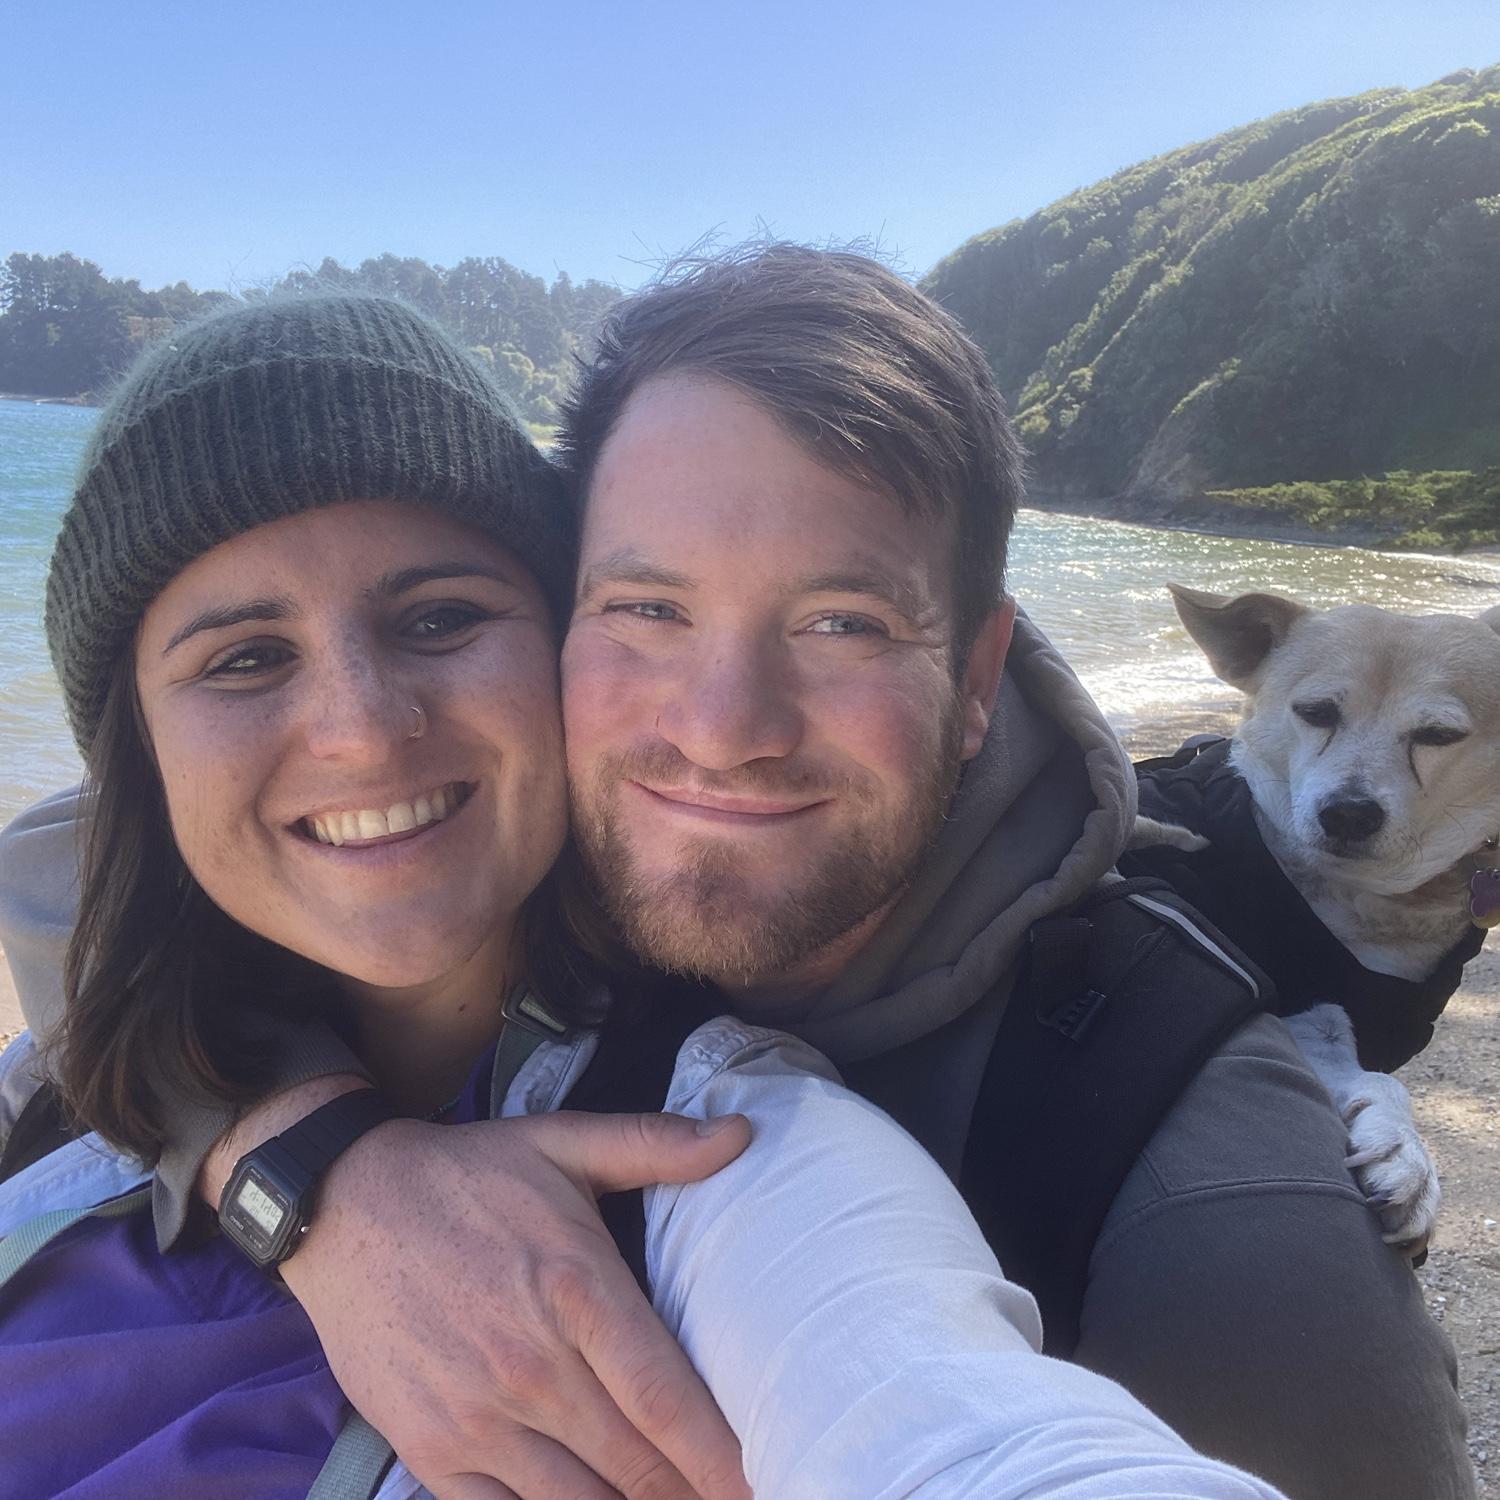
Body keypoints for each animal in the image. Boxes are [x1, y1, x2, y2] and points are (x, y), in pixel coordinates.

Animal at [1122, 584, 1500, 1254]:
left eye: (1438, 734)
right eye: (1316, 712)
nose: (1349, 812)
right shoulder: (1294, 1006)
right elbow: (1377, 1078)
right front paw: (1406, 1151)